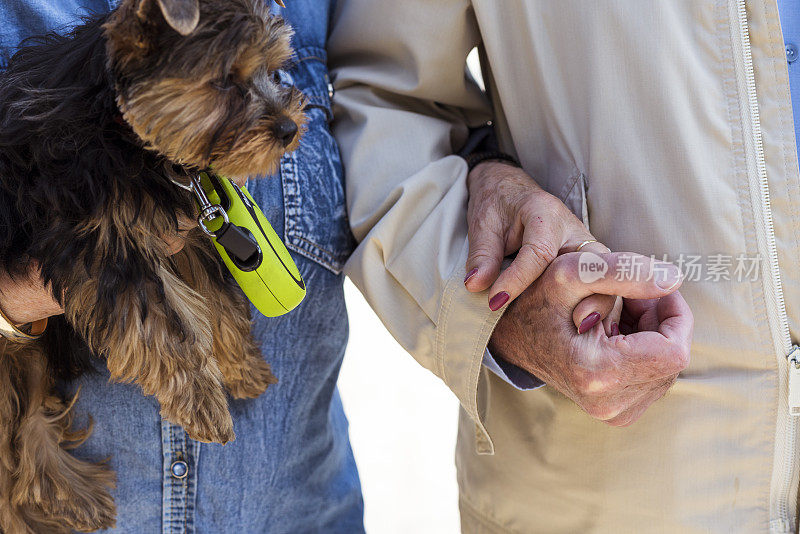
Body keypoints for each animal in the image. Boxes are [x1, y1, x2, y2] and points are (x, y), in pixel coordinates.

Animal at [0, 0, 304, 528]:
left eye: (271, 70)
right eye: (223, 82)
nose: (288, 129)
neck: (122, 131)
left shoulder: (185, 232)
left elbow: (216, 298)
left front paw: (242, 367)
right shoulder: (97, 240)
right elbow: (158, 324)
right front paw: (201, 403)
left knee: (27, 419)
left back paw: (77, 496)